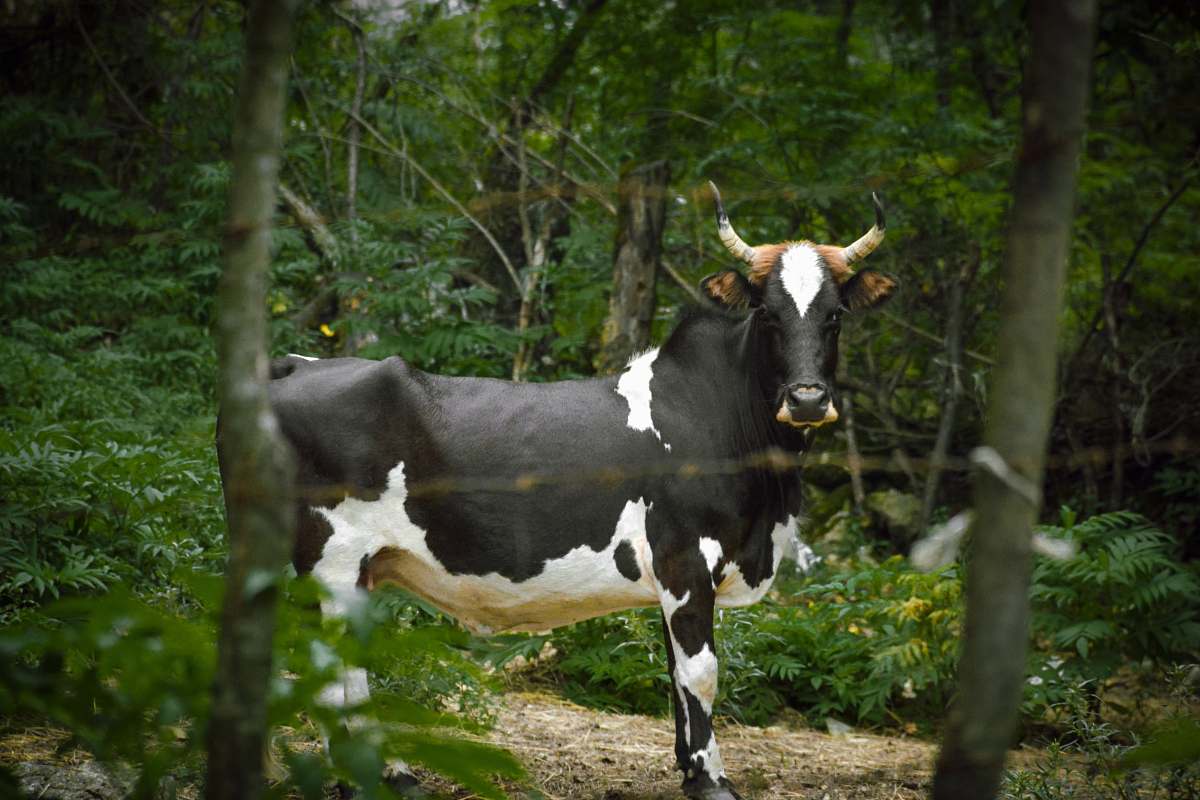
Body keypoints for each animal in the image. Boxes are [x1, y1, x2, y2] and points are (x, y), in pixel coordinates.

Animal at [236, 183, 892, 800]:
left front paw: (689, 772)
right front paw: (712, 781)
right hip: (331, 561)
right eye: (769, 314)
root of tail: (296, 364)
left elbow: (676, 678)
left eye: (835, 315)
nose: (807, 399)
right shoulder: (685, 558)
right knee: (333, 674)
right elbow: (701, 672)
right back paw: (364, 780)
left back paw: (390, 776)